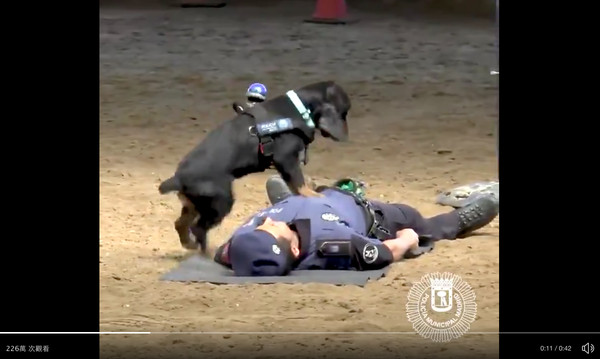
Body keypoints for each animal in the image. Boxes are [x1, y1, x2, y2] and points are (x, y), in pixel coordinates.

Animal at [159, 81, 350, 255]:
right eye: (344, 113)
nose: (346, 136)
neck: (299, 108)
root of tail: (178, 178)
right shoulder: (286, 159)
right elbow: (300, 185)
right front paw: (316, 196)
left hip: (193, 205)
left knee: (181, 224)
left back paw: (190, 245)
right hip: (221, 202)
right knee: (198, 229)